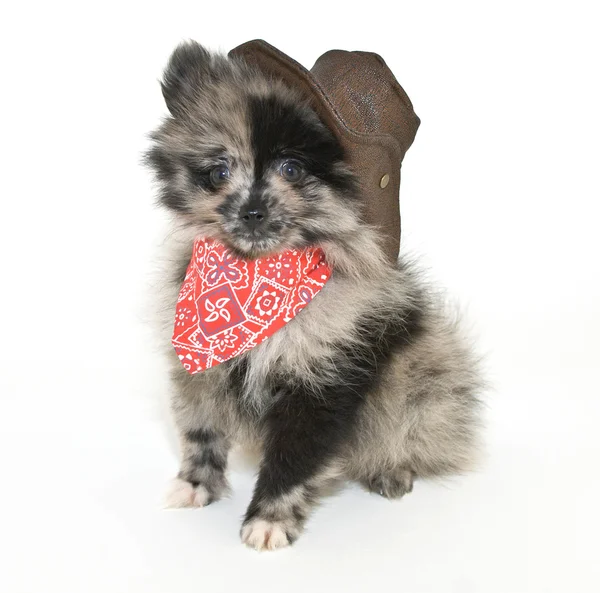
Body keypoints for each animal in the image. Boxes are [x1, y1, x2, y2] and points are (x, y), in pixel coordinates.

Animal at [148, 40, 486, 552]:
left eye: (292, 169)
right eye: (219, 171)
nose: (251, 211)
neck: (255, 280)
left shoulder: (324, 380)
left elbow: (294, 457)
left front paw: (269, 518)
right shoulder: (201, 365)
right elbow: (201, 429)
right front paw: (194, 484)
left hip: (420, 374)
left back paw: (392, 470)